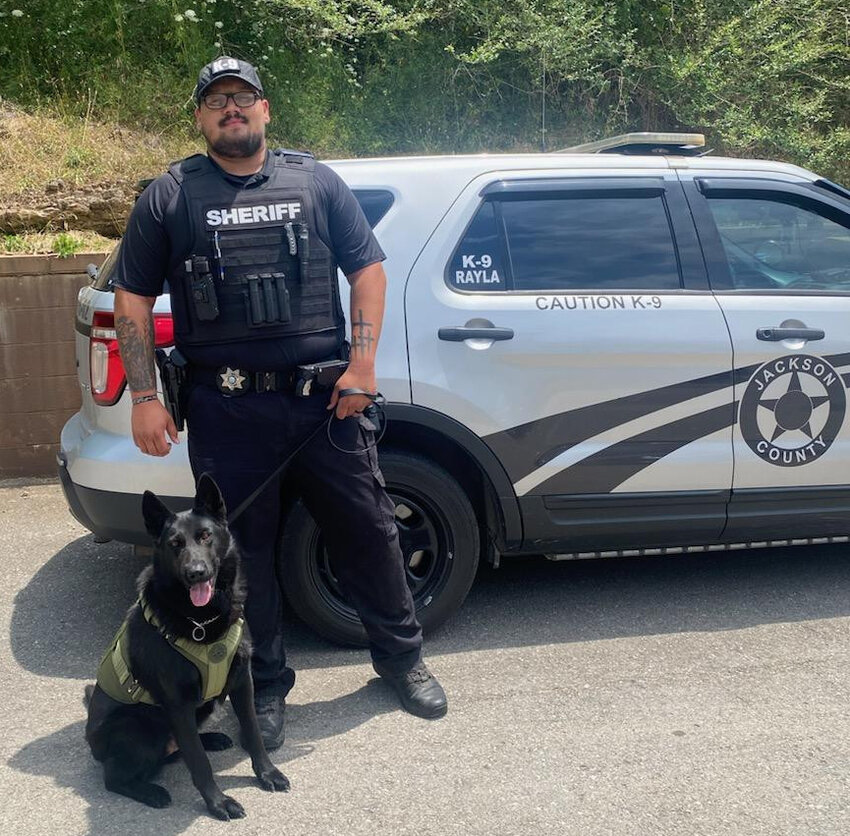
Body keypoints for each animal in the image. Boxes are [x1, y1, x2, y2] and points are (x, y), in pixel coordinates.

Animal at [85, 474, 288, 820]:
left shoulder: (242, 682)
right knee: (116, 777)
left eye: (205, 536)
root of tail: (92, 739)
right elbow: (199, 762)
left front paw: (267, 773)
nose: (196, 573)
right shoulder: (178, 704)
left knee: (178, 747)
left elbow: (253, 733)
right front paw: (218, 802)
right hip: (137, 727)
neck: (201, 621)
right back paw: (151, 792)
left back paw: (211, 739)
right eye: (175, 544)